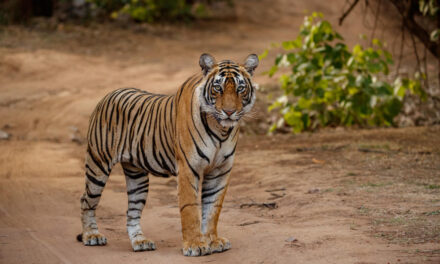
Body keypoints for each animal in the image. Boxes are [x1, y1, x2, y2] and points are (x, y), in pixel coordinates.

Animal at [77, 52, 260, 256]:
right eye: (217, 88)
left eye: (240, 89)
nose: (229, 112)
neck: (221, 130)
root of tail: (108, 95)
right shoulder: (189, 168)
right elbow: (190, 209)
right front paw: (195, 245)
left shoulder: (220, 170)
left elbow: (213, 208)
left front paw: (213, 241)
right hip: (98, 164)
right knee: (86, 200)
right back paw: (92, 236)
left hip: (137, 177)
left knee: (132, 212)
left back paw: (140, 242)